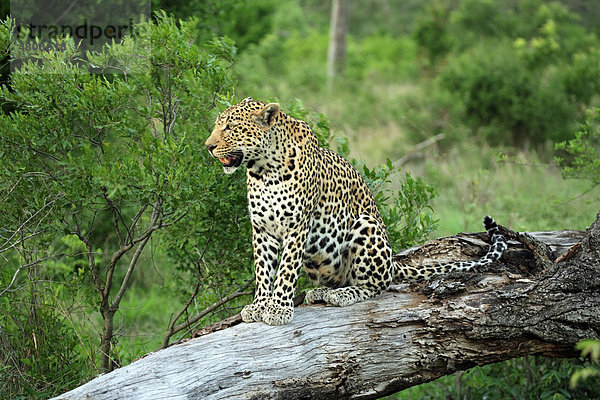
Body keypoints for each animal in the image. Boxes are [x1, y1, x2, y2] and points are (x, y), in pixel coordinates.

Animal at [205, 98, 506, 326]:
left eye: (230, 127)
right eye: (218, 126)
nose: (208, 146)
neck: (263, 170)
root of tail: (392, 261)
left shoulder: (296, 227)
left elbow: (286, 270)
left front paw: (278, 308)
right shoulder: (262, 229)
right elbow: (263, 270)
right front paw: (259, 305)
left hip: (366, 224)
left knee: (376, 285)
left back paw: (344, 294)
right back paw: (321, 292)